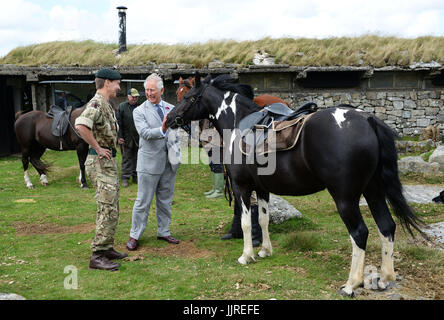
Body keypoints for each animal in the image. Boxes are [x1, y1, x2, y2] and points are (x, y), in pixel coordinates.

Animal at [166, 74, 426, 298]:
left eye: (188, 97)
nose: (169, 120)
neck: (239, 122)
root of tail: (367, 119)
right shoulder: (262, 189)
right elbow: (263, 219)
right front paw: (265, 251)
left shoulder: (242, 187)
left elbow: (246, 221)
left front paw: (246, 255)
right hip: (373, 191)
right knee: (386, 226)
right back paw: (385, 278)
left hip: (345, 198)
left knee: (360, 233)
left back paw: (351, 284)